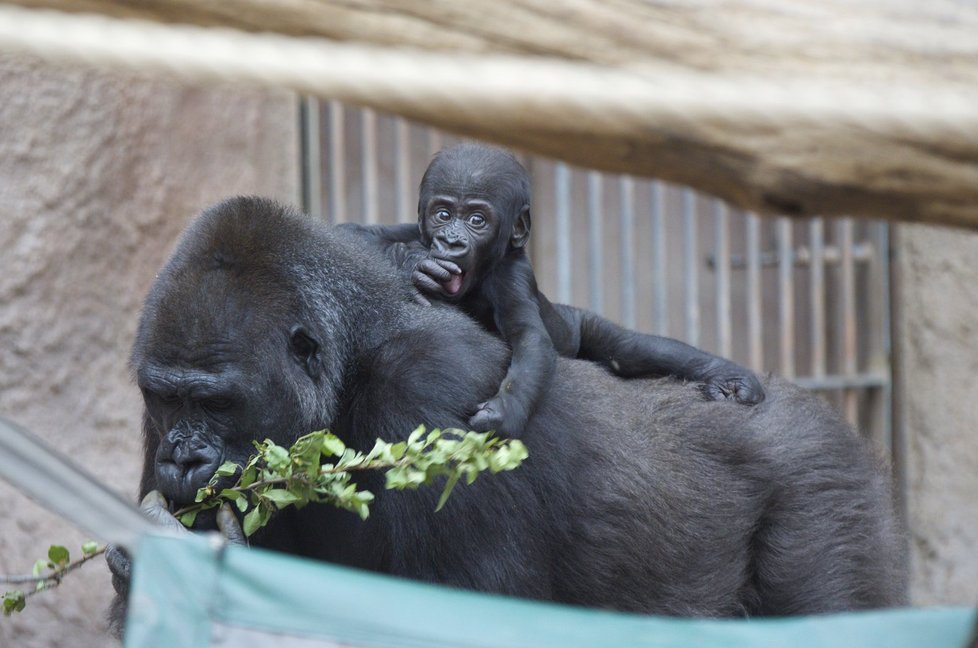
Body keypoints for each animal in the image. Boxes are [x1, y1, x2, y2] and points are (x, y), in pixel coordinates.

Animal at [110, 195, 904, 620]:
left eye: (219, 404)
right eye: (168, 399)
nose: (182, 456)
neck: (353, 360)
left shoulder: (430, 390)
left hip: (827, 492)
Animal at [344, 144, 764, 432]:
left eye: (477, 220)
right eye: (443, 214)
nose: (451, 242)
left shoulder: (512, 278)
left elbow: (530, 339)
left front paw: (505, 413)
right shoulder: (411, 228)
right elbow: (354, 232)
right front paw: (411, 260)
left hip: (576, 324)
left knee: (630, 350)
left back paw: (729, 378)